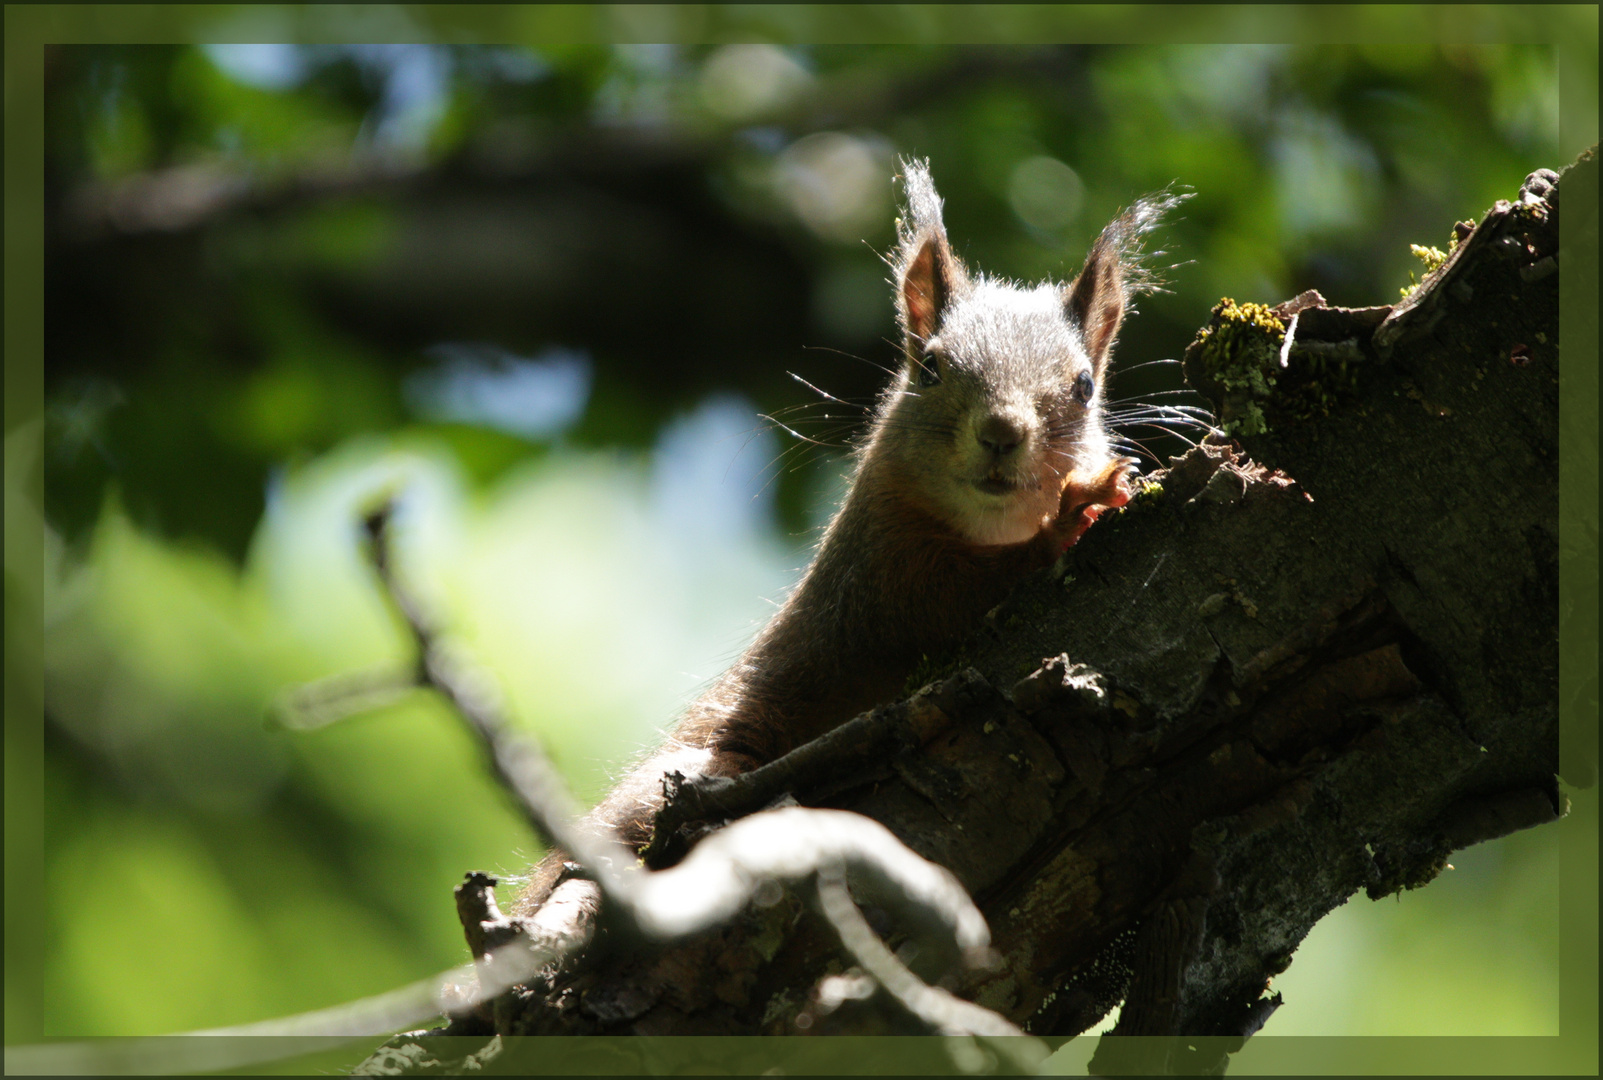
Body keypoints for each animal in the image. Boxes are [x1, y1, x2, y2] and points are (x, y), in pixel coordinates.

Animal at [519, 160, 1186, 916]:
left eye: (1082, 386)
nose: (1001, 431)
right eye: (929, 366)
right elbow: (942, 597)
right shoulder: (874, 572)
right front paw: (1072, 516)